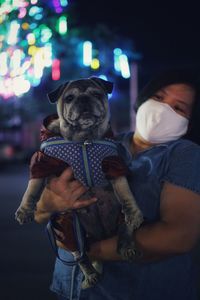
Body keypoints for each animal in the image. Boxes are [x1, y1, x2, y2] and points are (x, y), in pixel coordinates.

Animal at [15, 77, 144, 288]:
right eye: (69, 98)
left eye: (96, 94)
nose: (83, 100)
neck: (84, 139)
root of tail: (101, 236)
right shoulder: (42, 163)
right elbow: (32, 189)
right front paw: (25, 210)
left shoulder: (114, 165)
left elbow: (125, 192)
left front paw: (134, 213)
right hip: (67, 228)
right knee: (80, 256)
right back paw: (90, 274)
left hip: (117, 218)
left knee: (124, 230)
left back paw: (127, 247)